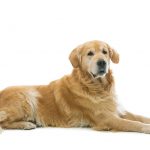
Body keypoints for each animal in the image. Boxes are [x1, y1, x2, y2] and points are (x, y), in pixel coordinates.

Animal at [0, 40, 150, 134]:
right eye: (90, 53)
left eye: (105, 52)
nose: (102, 62)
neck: (96, 86)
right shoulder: (106, 118)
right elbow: (133, 124)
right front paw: (147, 128)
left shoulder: (117, 110)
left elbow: (140, 117)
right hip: (28, 96)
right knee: (3, 122)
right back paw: (26, 124)